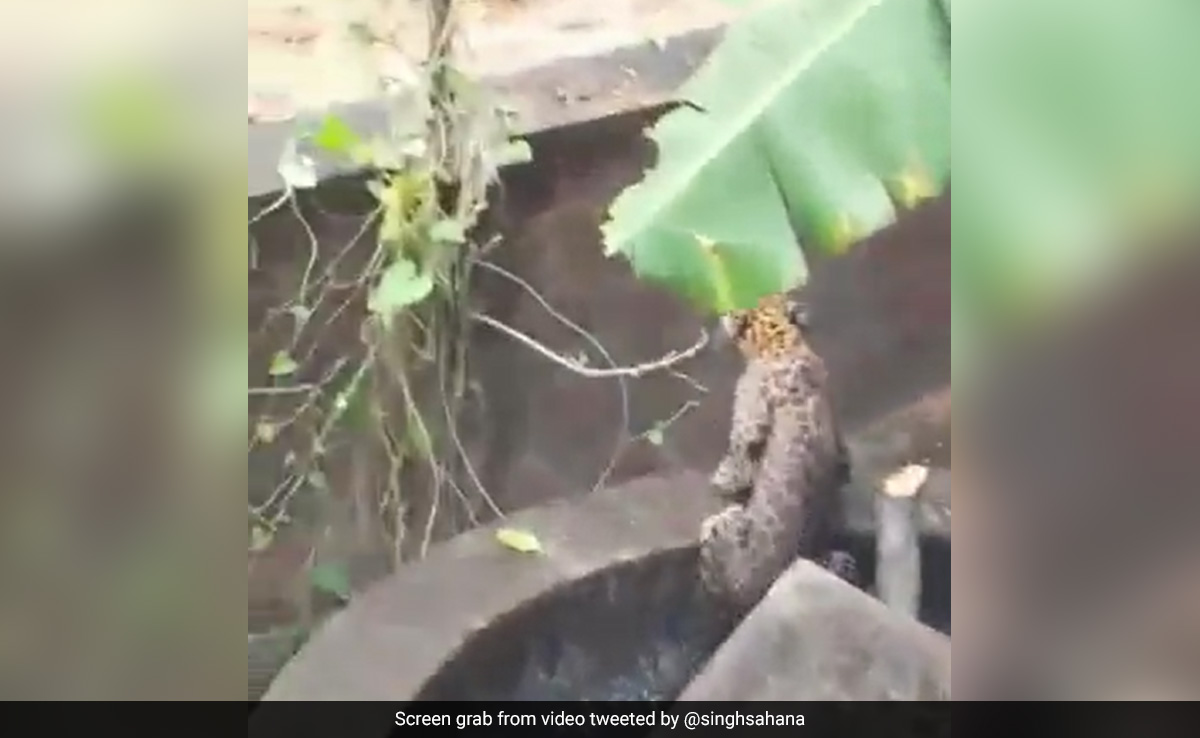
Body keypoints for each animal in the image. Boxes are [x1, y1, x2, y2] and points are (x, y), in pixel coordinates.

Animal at [699, 292, 857, 619]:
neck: (780, 340)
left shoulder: (748, 420)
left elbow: (737, 455)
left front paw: (720, 480)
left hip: (726, 538)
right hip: (838, 558)